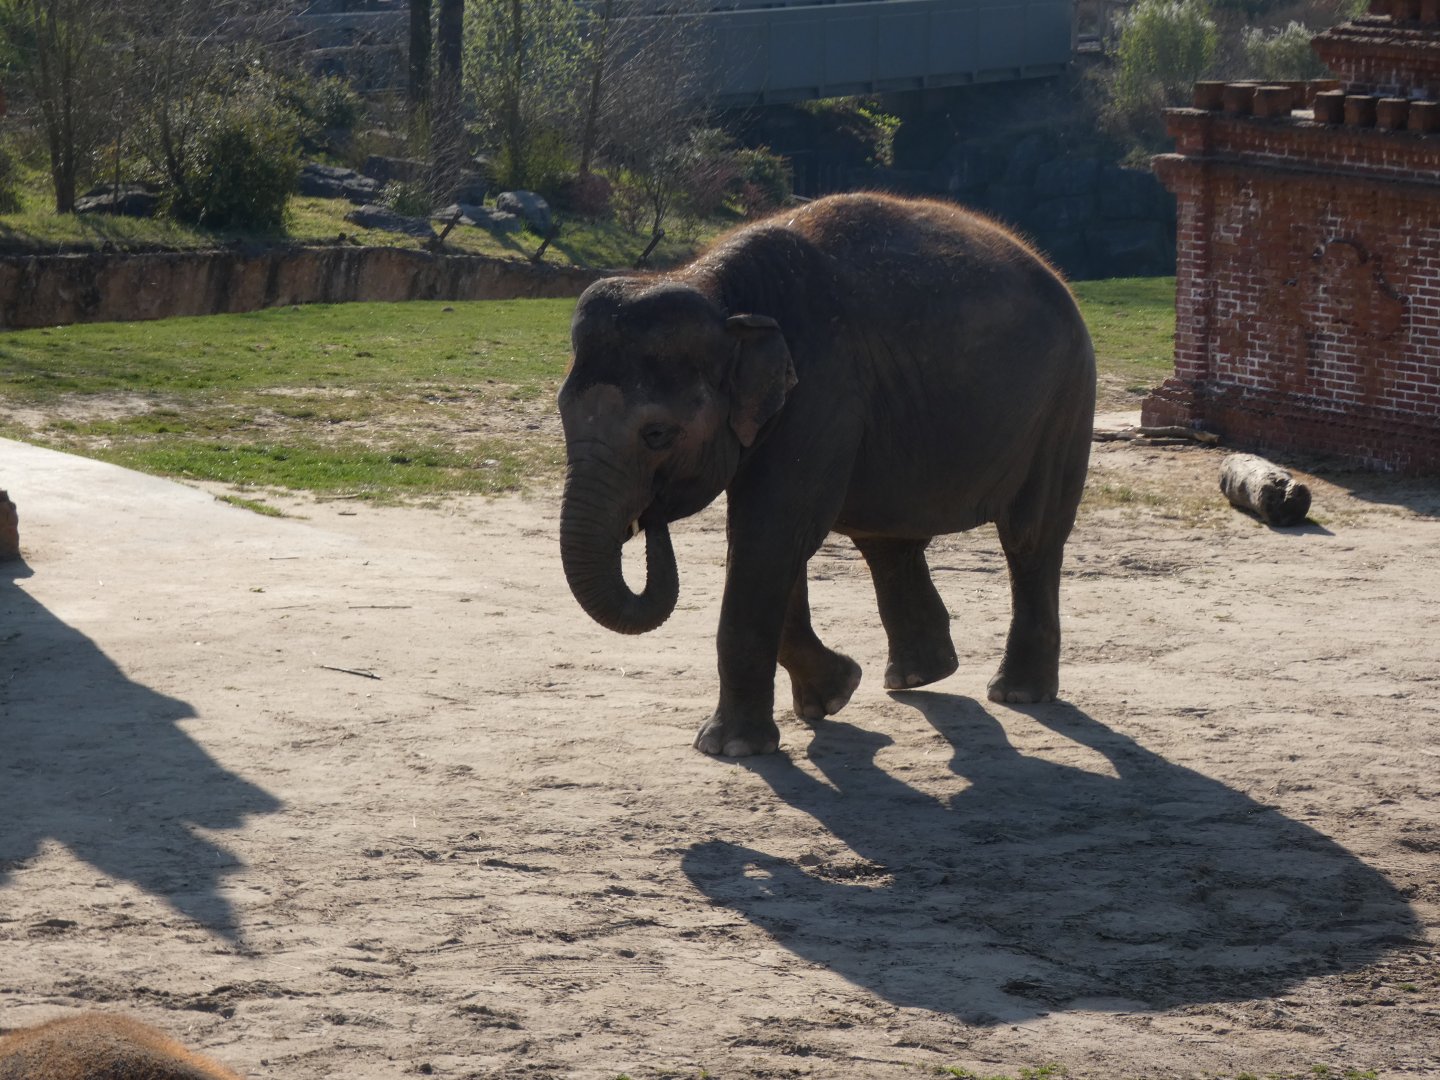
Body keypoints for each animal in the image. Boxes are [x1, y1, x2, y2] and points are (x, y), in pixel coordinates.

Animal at [558, 192, 1095, 757]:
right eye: (561, 415)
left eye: (657, 434)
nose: (649, 520)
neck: (721, 295)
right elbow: (775, 543)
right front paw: (833, 696)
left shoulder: (822, 390)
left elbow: (769, 534)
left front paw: (731, 748)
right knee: (886, 540)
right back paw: (916, 678)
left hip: (1063, 401)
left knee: (1030, 537)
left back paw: (1016, 693)